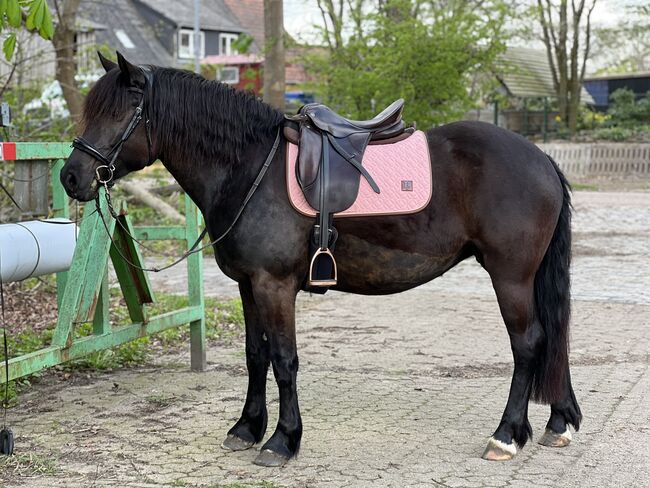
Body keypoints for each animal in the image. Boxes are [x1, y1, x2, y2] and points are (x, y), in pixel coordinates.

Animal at [60, 52, 581, 467]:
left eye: (121, 112)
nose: (71, 177)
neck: (249, 168)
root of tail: (542, 159)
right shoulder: (248, 285)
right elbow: (255, 355)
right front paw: (246, 428)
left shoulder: (274, 285)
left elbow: (284, 360)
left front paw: (282, 441)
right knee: (553, 338)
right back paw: (558, 423)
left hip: (510, 277)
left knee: (528, 344)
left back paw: (506, 436)